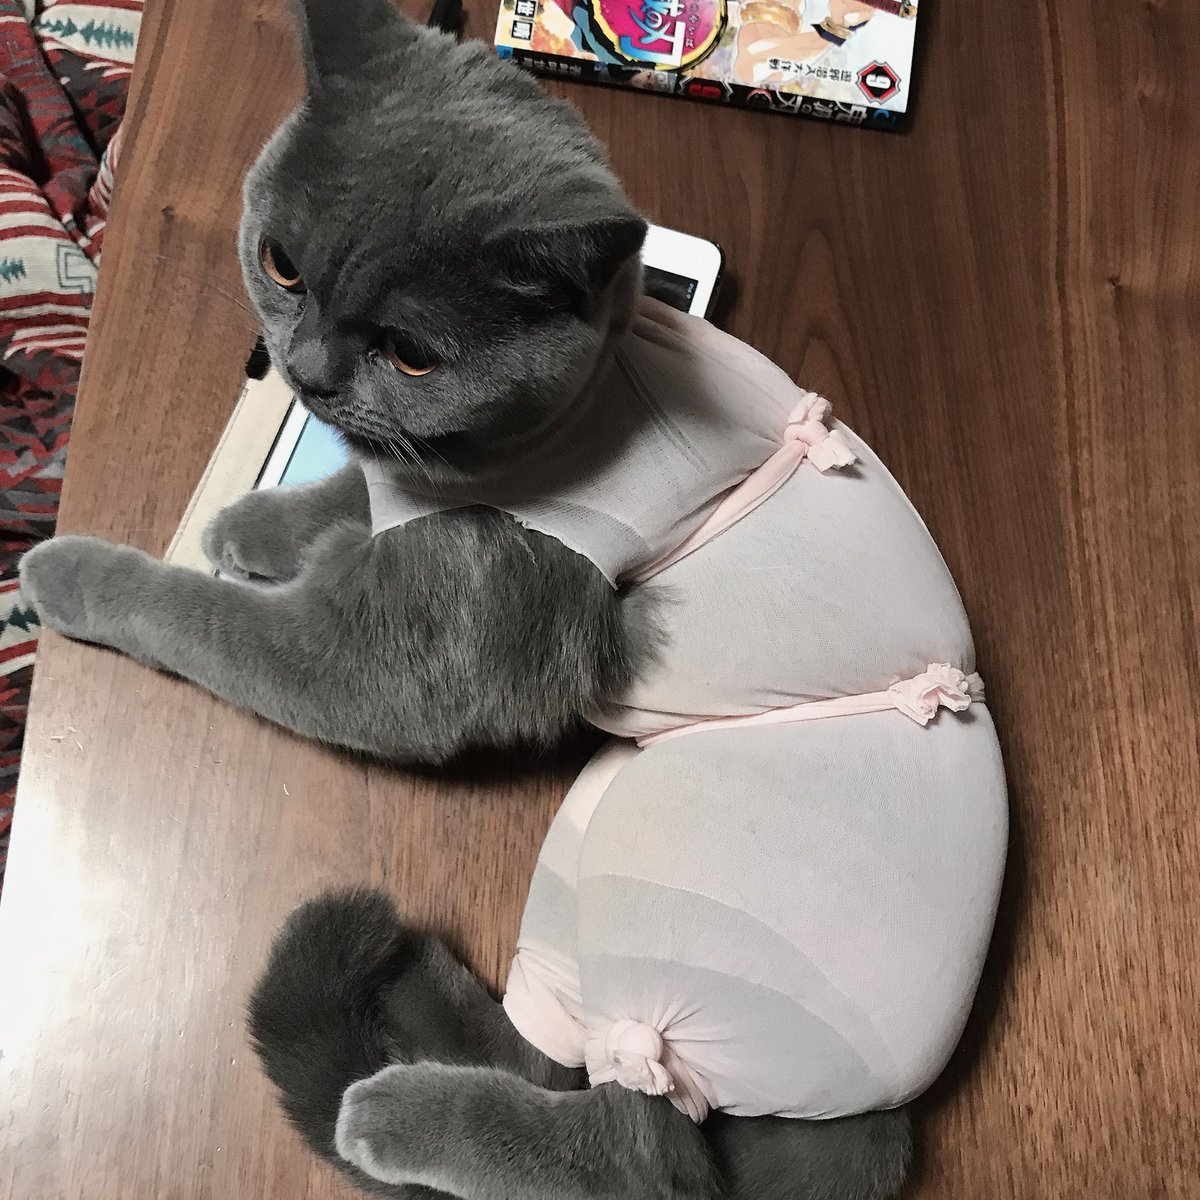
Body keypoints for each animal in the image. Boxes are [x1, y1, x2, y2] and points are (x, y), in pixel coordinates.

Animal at [19, 1, 918, 1196]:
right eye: (282, 264)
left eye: (413, 354)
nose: (307, 371)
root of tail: (878, 1120)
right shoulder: (412, 489)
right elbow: (352, 488)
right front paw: (261, 526)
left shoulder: (395, 663)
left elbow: (202, 620)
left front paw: (77, 571)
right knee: (557, 1064)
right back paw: (405, 985)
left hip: (660, 899)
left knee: (643, 1154)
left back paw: (388, 1108)